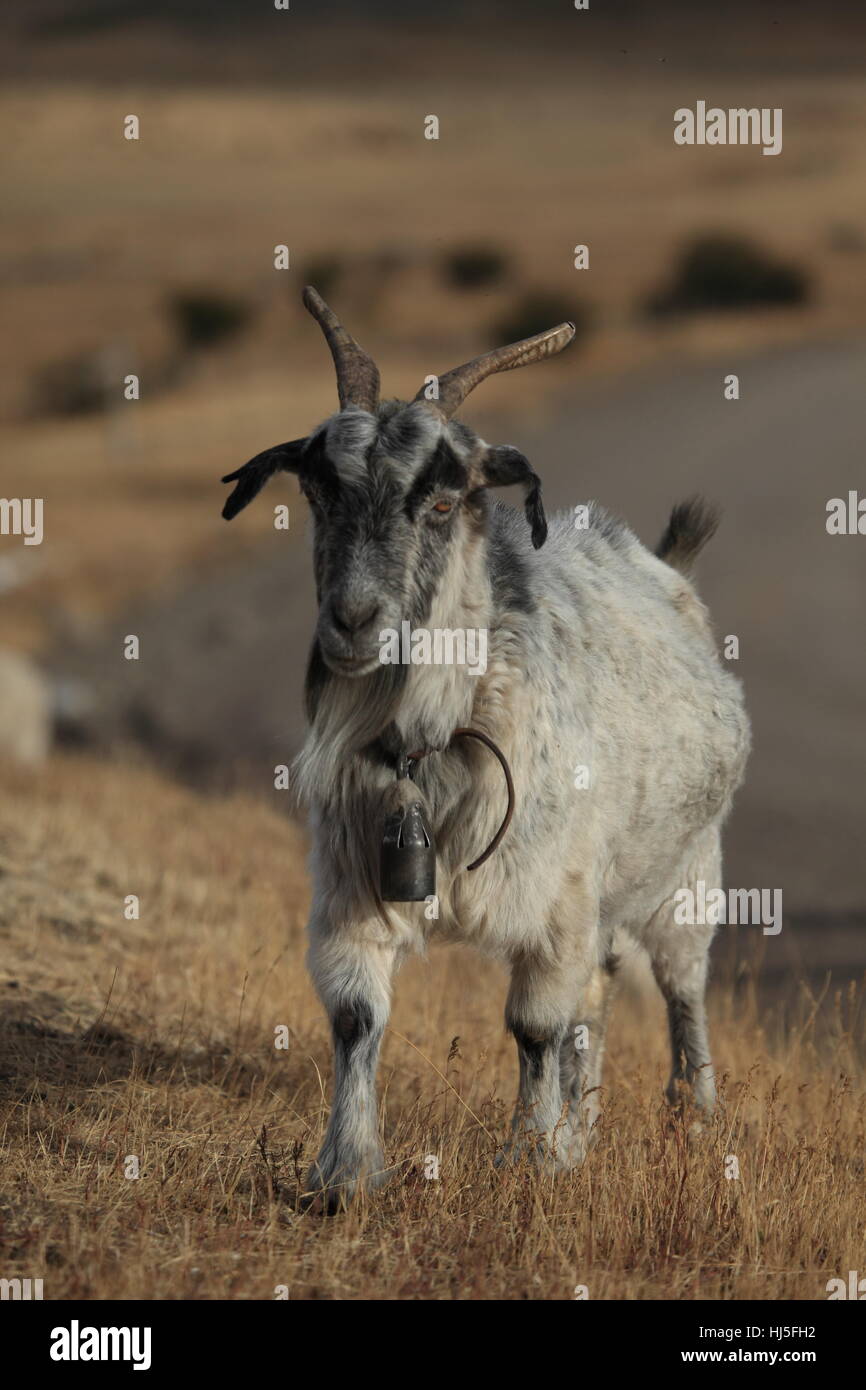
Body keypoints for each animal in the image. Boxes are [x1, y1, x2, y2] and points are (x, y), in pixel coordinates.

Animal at [219, 290, 750, 1206]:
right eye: (318, 492)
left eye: (442, 501)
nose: (352, 622)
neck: (430, 739)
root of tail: (665, 569)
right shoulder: (351, 885)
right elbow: (357, 1015)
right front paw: (343, 1175)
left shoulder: (557, 899)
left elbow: (535, 1027)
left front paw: (531, 1160)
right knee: (600, 999)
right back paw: (586, 1133)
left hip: (687, 869)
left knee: (680, 989)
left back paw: (696, 1119)